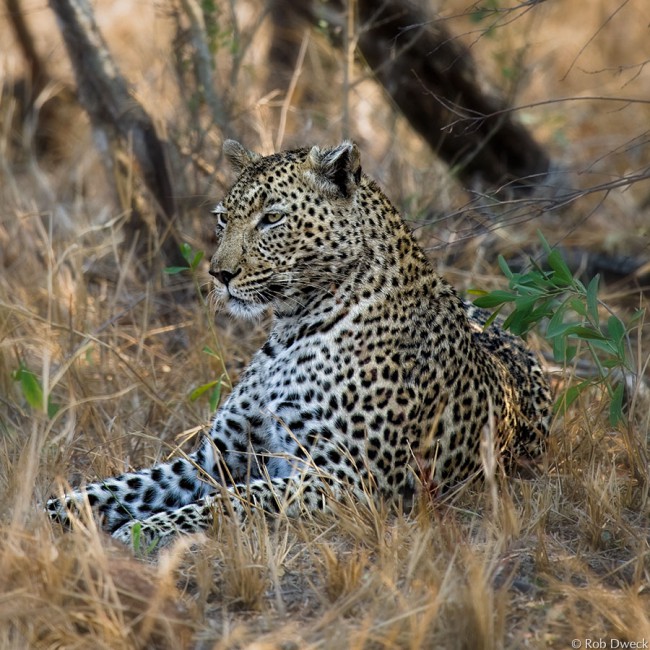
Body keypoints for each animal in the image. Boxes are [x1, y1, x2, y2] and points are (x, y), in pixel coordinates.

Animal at [47, 139, 552, 548]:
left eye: (271, 219)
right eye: (223, 219)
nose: (219, 274)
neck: (290, 328)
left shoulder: (345, 479)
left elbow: (233, 500)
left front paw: (141, 529)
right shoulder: (214, 457)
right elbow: (122, 486)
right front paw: (48, 515)